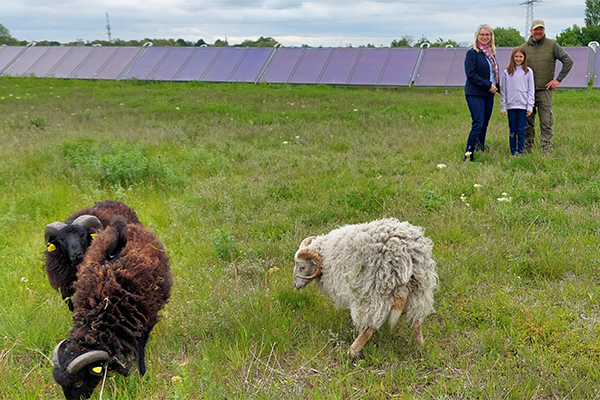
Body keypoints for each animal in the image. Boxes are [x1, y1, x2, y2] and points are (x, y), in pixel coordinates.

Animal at [292, 219, 438, 356]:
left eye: (302, 267)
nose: (295, 285)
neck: (325, 256)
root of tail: (405, 259)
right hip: (420, 291)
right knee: (417, 322)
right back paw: (420, 346)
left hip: (373, 293)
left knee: (368, 328)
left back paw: (351, 352)